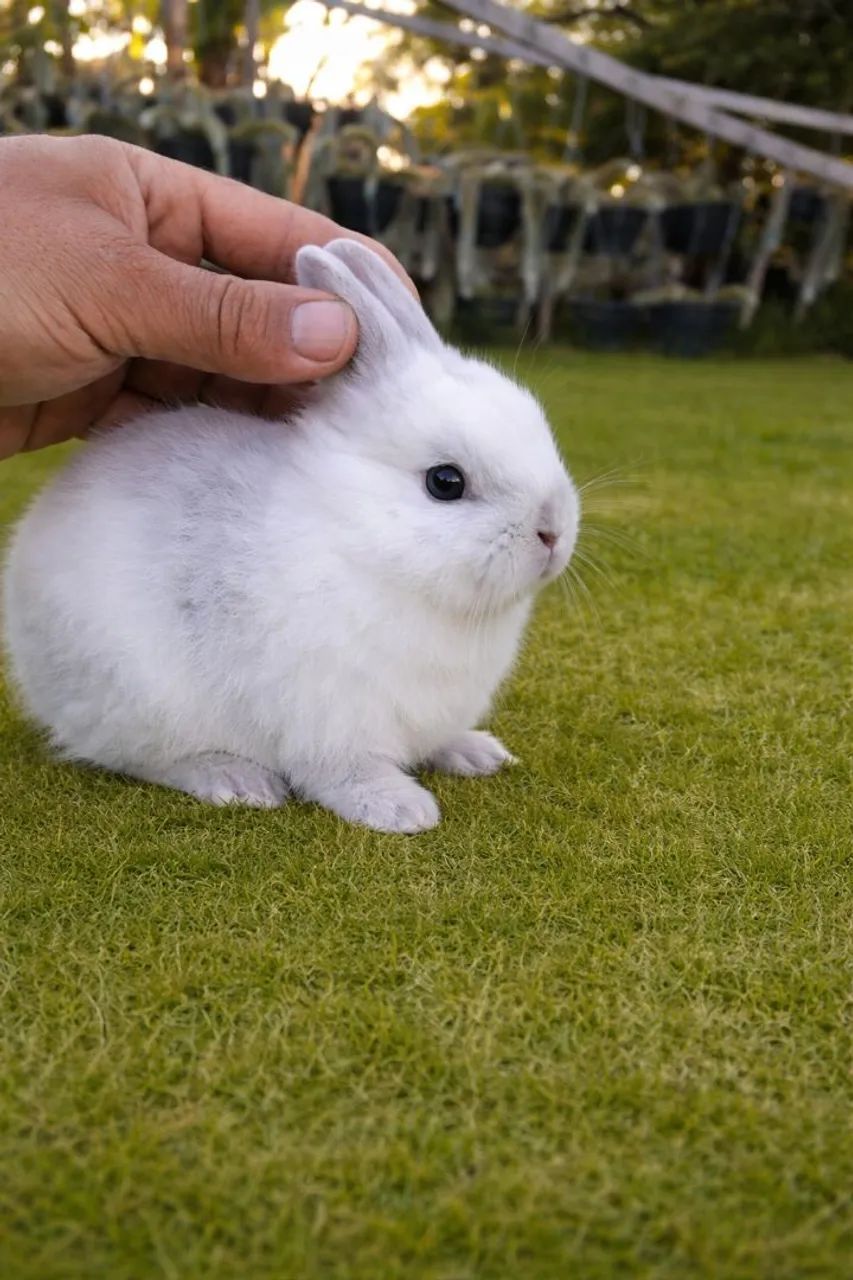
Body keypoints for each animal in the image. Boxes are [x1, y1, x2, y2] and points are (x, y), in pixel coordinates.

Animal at [2, 239, 579, 834]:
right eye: (446, 482)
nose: (552, 532)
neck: (364, 546)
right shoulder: (328, 718)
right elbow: (342, 772)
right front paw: (402, 809)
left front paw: (474, 752)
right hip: (138, 699)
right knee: (147, 758)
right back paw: (237, 781)